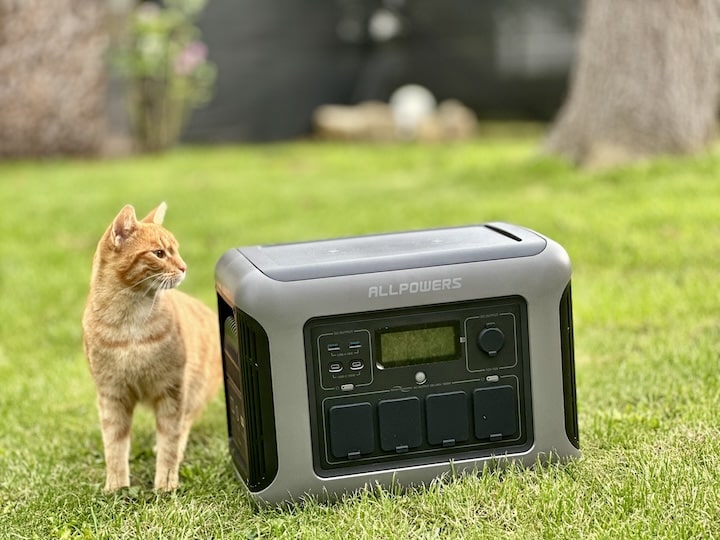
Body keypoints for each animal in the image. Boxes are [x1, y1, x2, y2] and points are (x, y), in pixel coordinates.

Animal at [82, 201, 222, 490]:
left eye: (176, 250)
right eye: (159, 253)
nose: (184, 267)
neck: (129, 325)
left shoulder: (172, 391)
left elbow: (170, 440)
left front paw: (166, 483)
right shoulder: (112, 395)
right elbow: (114, 445)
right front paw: (116, 486)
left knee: (184, 426)